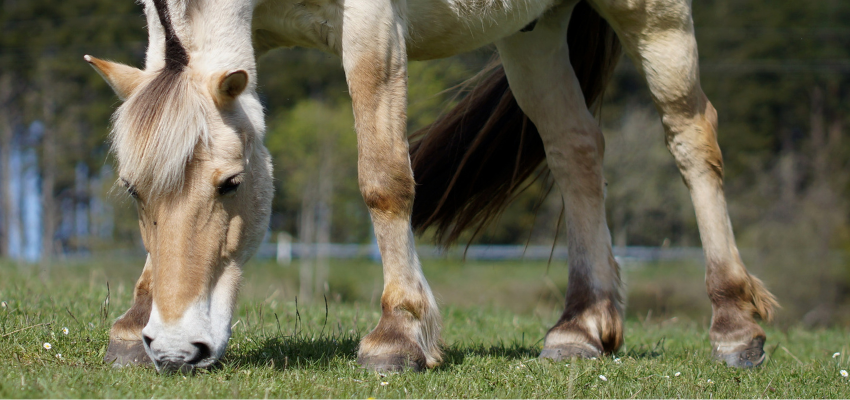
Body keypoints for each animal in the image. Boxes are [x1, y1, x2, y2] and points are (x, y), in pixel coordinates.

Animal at [84, 0, 776, 372]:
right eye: (133, 192)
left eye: (231, 184)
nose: (177, 348)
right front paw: (135, 324)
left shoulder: (371, 32)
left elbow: (384, 178)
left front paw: (398, 334)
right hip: (533, 32)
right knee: (575, 148)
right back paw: (580, 326)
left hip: (655, 18)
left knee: (691, 138)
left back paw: (734, 325)